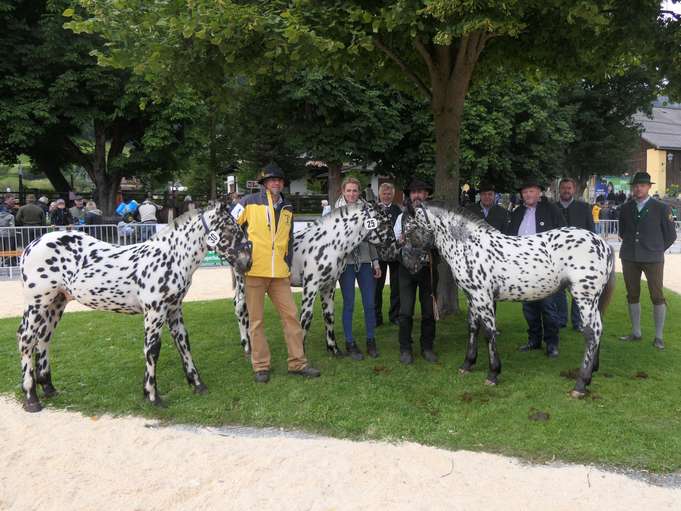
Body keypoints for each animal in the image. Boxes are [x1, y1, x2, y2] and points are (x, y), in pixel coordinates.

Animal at [17, 202, 251, 414]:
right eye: (230, 229)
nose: (246, 263)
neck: (171, 257)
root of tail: (32, 244)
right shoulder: (155, 311)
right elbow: (152, 349)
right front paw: (153, 395)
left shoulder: (174, 309)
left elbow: (183, 343)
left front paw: (197, 385)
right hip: (37, 303)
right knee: (27, 340)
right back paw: (31, 398)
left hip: (57, 302)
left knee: (44, 339)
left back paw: (49, 388)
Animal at [232, 201, 394, 356]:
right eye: (385, 223)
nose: (394, 246)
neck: (329, 244)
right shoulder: (311, 286)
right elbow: (306, 318)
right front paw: (301, 351)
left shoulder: (328, 286)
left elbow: (329, 315)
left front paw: (333, 349)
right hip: (244, 285)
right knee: (240, 308)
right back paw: (247, 346)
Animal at [404, 202, 616, 398]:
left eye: (410, 230)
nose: (409, 264)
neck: (469, 246)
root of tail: (603, 244)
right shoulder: (472, 297)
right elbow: (473, 328)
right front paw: (467, 364)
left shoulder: (483, 297)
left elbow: (489, 333)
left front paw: (493, 374)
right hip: (593, 301)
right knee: (599, 329)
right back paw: (593, 370)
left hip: (585, 297)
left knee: (591, 332)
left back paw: (581, 384)